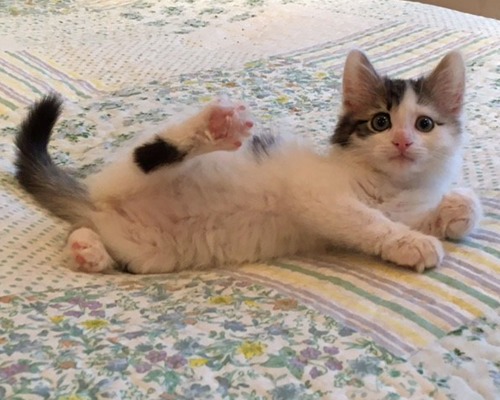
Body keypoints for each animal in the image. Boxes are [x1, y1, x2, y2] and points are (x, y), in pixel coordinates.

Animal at [14, 50, 480, 276]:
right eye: (380, 122)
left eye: (424, 124)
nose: (402, 141)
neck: (389, 186)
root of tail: (93, 200)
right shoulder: (321, 196)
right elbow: (369, 221)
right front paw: (414, 243)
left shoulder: (408, 204)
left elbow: (449, 209)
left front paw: (455, 211)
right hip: (131, 174)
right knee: (148, 156)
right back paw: (214, 129)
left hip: (144, 252)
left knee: (89, 231)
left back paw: (87, 252)